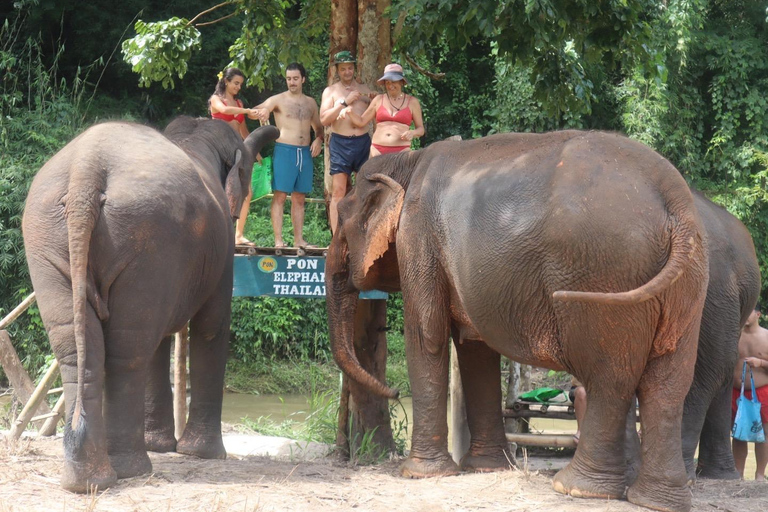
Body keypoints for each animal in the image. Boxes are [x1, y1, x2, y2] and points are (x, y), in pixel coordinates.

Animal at [20, 117, 280, 492]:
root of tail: (86, 168)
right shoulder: (221, 250)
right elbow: (212, 327)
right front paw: (202, 455)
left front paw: (165, 447)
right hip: (145, 237)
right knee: (127, 351)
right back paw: (132, 470)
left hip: (49, 238)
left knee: (78, 349)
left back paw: (88, 480)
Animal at [328, 131, 712, 512]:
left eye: (342, 223)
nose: (394, 393)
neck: (408, 161)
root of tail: (676, 199)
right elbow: (476, 349)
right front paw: (487, 467)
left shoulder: (419, 238)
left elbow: (428, 335)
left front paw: (418, 474)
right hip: (686, 283)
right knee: (666, 385)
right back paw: (656, 500)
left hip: (607, 273)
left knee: (609, 379)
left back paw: (577, 489)